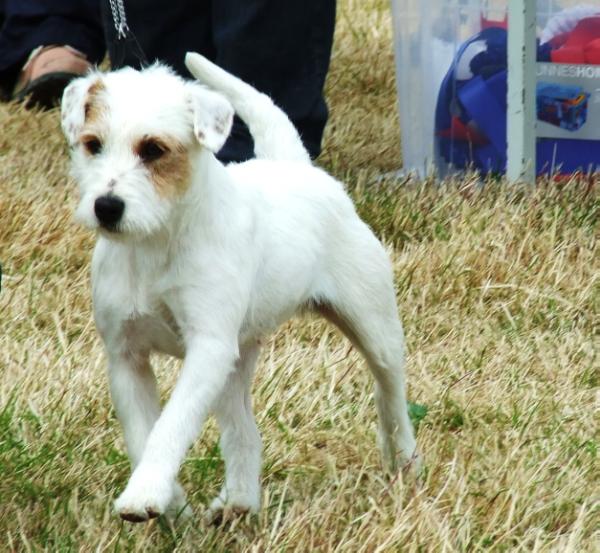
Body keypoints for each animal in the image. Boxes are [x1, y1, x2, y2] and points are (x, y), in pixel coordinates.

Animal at [59, 51, 418, 520]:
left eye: (154, 149)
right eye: (92, 145)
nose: (106, 206)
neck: (157, 241)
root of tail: (297, 167)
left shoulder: (207, 349)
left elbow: (170, 425)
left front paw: (146, 493)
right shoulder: (126, 357)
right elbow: (143, 433)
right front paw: (168, 501)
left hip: (374, 328)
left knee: (390, 394)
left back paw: (404, 461)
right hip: (234, 365)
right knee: (244, 432)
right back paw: (240, 502)